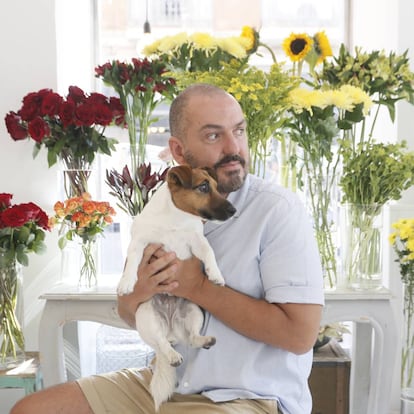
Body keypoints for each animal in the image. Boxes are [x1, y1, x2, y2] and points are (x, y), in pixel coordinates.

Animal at [118, 163, 236, 410]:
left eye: (217, 187)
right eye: (203, 187)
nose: (233, 210)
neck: (175, 220)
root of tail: (171, 329)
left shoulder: (197, 241)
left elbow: (209, 252)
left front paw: (215, 274)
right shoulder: (140, 243)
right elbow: (133, 260)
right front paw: (127, 282)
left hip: (193, 311)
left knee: (191, 338)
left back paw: (204, 340)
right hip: (147, 317)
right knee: (162, 343)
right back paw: (172, 356)